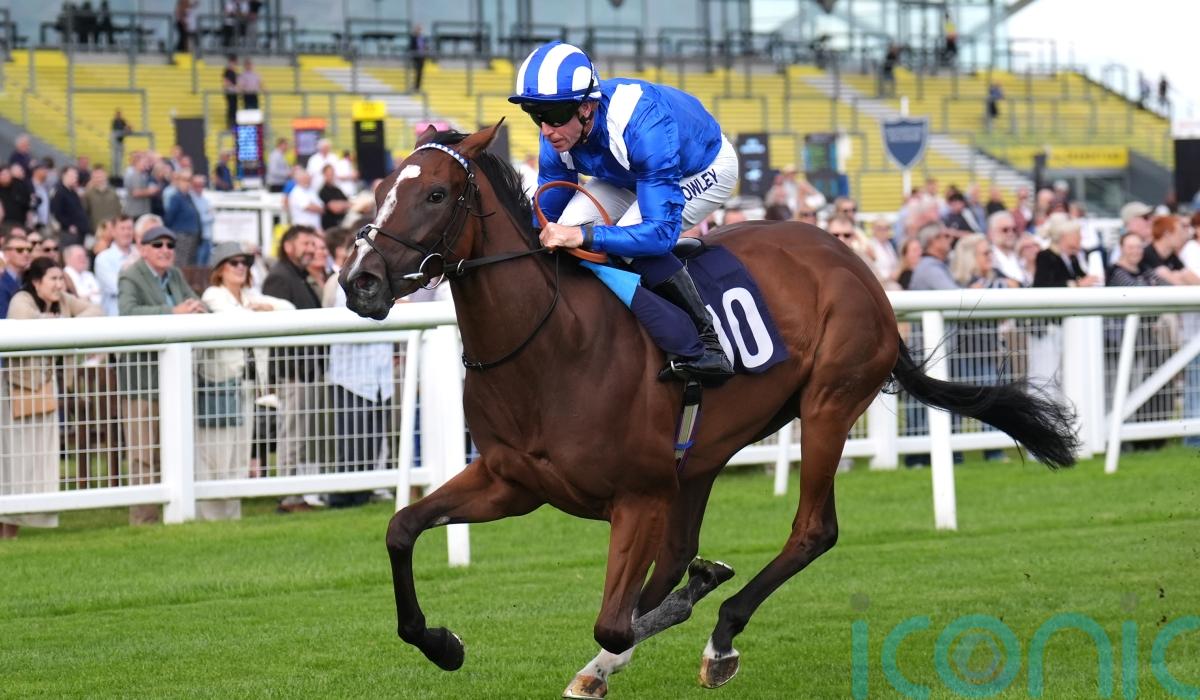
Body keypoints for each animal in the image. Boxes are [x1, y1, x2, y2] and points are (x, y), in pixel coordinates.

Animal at [339, 122, 1078, 698]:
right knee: (678, 552)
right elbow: (401, 529)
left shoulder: (637, 494)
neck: (551, 344)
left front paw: (683, 609)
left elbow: (614, 618)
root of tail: (852, 260)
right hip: (702, 455)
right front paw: (442, 643)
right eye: (379, 190)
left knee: (811, 531)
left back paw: (720, 636)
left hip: (829, 402)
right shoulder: (511, 482)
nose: (359, 281)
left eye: (436, 194)